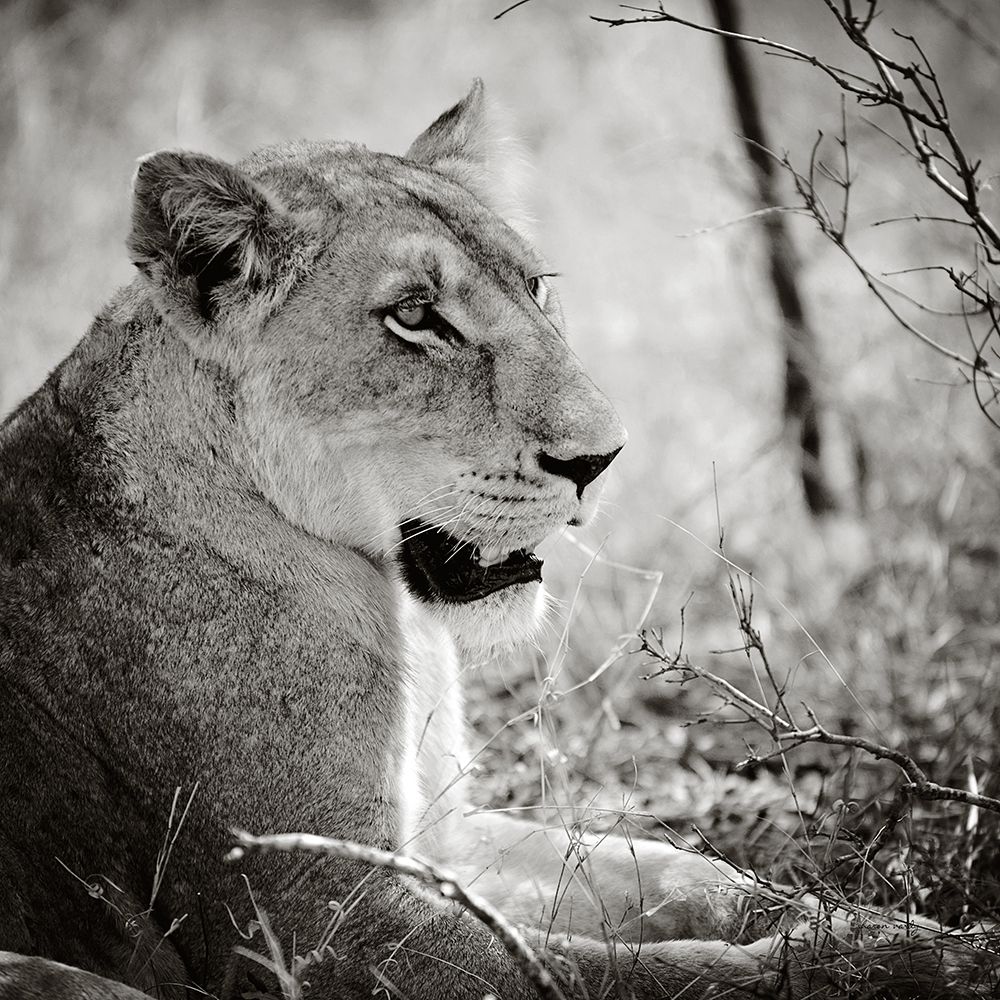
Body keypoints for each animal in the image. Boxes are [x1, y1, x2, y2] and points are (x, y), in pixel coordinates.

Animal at [0, 81, 987, 1000]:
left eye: (536, 286)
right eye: (414, 316)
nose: (601, 458)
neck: (399, 618)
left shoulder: (446, 837)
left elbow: (680, 873)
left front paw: (901, 932)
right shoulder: (311, 918)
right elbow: (619, 975)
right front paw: (897, 969)